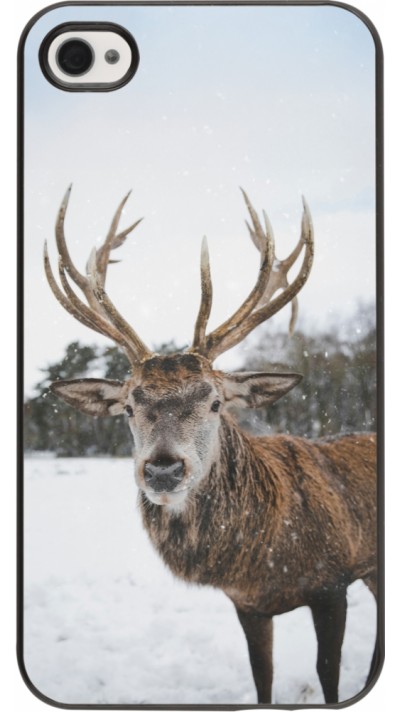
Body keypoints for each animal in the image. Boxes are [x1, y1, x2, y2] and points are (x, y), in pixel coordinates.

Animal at [43, 186, 377, 704]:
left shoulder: (334, 581)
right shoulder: (247, 605)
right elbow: (262, 677)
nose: (162, 469)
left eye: (216, 401)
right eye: (128, 406)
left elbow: (328, 674)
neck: (265, 560)